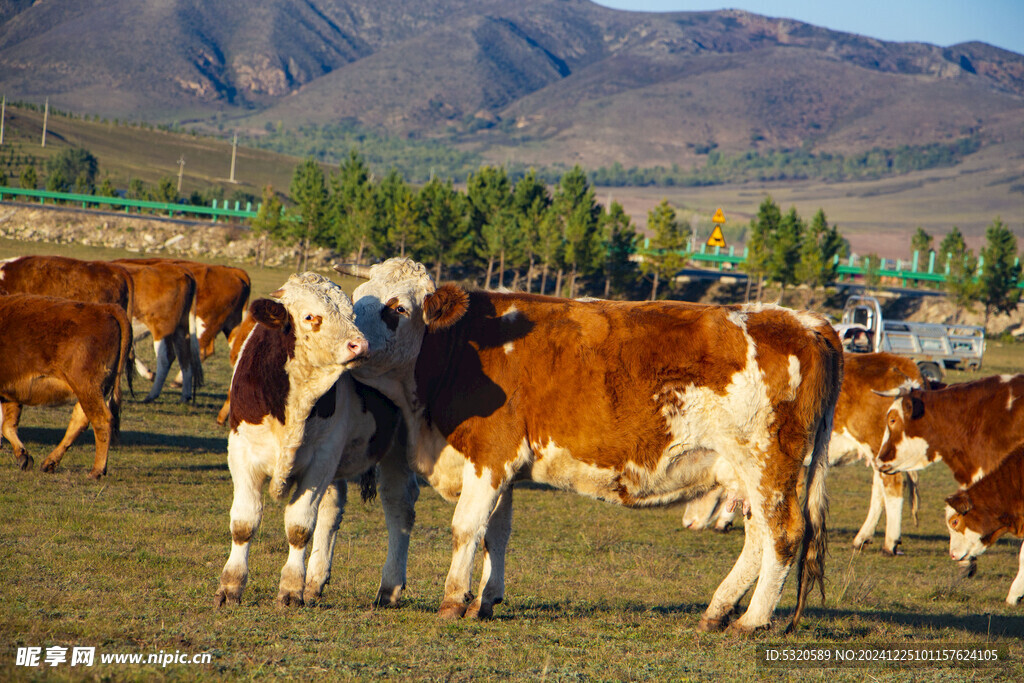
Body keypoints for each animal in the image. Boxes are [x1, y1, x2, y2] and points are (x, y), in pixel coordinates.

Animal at [0, 294, 132, 481]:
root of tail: (104, 308)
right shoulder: (11, 391)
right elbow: (8, 425)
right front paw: (24, 457)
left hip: (87, 387)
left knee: (101, 420)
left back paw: (96, 471)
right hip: (91, 391)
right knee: (80, 420)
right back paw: (49, 463)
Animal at [112, 259, 201, 403]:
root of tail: (182, 271)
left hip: (162, 328)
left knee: (165, 358)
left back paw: (152, 395)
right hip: (181, 329)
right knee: (185, 356)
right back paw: (185, 396)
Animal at [214, 272, 405, 610]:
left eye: (351, 314)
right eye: (309, 316)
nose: (360, 345)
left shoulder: (321, 460)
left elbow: (299, 527)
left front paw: (291, 589)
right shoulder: (241, 453)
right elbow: (244, 523)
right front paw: (231, 585)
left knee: (399, 512)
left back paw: (389, 588)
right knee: (332, 511)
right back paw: (315, 582)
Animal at [344, 258, 839, 634]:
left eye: (396, 308)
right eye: (357, 299)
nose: (354, 345)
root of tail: (803, 321)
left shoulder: (490, 454)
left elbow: (467, 527)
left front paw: (451, 602)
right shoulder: (505, 466)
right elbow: (496, 533)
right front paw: (485, 599)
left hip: (769, 464)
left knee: (783, 535)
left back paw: (750, 621)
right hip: (745, 473)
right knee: (758, 538)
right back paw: (717, 611)